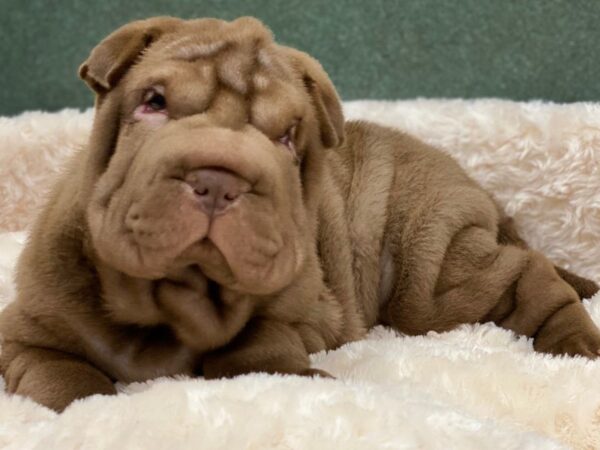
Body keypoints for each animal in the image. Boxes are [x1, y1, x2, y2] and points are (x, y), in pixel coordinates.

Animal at [1, 17, 600, 412]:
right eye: (153, 101)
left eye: (289, 136)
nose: (220, 179)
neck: (180, 303)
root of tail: (477, 185)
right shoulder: (26, 335)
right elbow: (66, 380)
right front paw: (92, 404)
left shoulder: (301, 310)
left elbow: (258, 348)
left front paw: (299, 379)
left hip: (431, 272)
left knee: (526, 275)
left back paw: (574, 347)